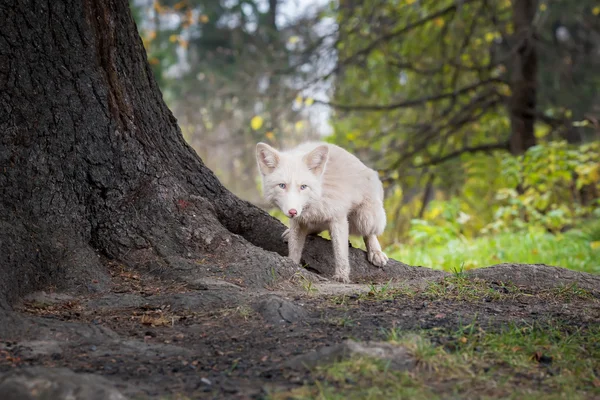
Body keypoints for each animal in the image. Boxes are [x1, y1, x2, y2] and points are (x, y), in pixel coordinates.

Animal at [254, 142, 390, 282]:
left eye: (303, 187)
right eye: (282, 185)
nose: (292, 211)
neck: (318, 194)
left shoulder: (338, 216)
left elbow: (341, 253)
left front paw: (342, 276)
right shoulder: (298, 221)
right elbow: (294, 247)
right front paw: (293, 265)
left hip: (365, 218)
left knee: (370, 233)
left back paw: (376, 252)